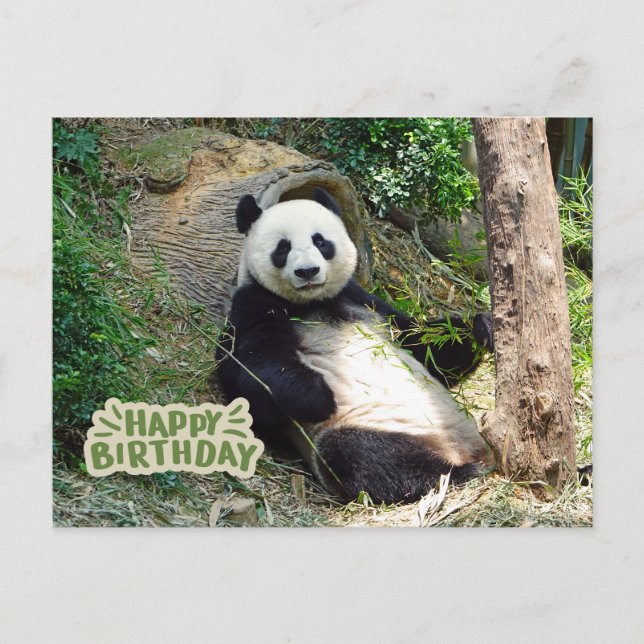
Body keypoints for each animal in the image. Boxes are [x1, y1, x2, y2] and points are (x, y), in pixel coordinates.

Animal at [216, 188, 494, 504]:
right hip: (371, 426)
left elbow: (423, 346)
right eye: (283, 248)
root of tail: (457, 449)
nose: (307, 271)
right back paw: (457, 473)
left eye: (320, 241)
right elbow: (248, 368)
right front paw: (319, 396)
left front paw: (482, 327)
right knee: (367, 456)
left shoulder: (364, 301)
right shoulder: (253, 304)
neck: (312, 303)